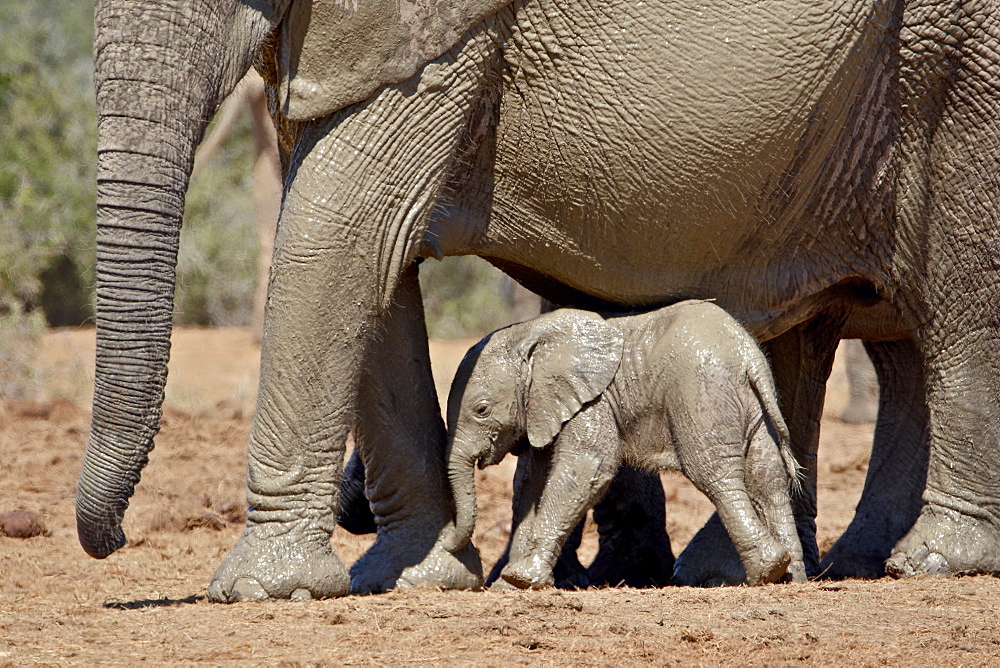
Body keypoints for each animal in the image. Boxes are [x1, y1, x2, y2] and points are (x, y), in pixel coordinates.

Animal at [446, 300, 804, 588]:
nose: (452, 543)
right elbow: (532, 484)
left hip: (701, 394)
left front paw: (522, 579)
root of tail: (747, 355)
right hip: (752, 404)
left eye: (481, 410)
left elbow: (586, 470)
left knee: (714, 474)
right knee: (767, 478)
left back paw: (768, 570)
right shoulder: (544, 408)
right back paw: (791, 577)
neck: (530, 335)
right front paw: (508, 585)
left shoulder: (593, 402)